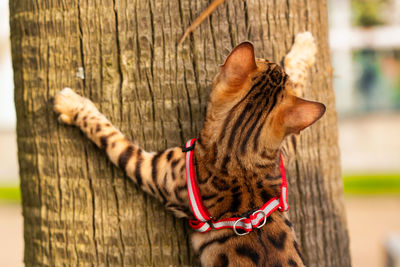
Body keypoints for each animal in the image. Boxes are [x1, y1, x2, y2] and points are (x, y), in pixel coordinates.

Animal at [54, 32, 324, 266]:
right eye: (267, 61)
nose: (267, 57)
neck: (240, 158)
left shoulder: (155, 171)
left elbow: (106, 134)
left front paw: (71, 104)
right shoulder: (282, 150)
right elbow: (297, 85)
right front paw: (305, 49)